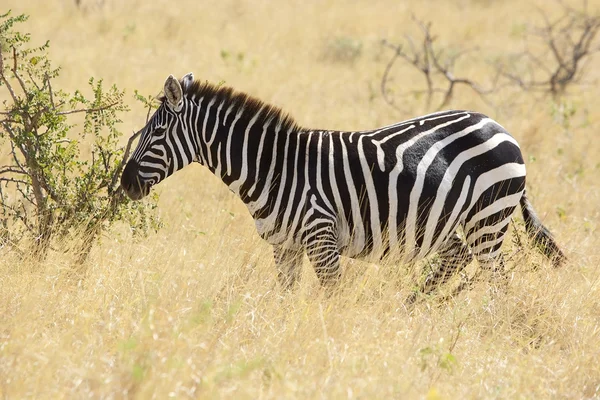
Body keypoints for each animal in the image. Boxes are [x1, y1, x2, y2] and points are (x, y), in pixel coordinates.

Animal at [120, 73, 564, 296]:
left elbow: (330, 298)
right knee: (456, 258)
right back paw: (411, 308)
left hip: (488, 218)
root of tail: (500, 127)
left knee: (498, 282)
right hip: (451, 224)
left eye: (155, 133)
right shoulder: (285, 247)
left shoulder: (321, 238)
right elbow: (285, 301)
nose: (124, 184)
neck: (274, 168)